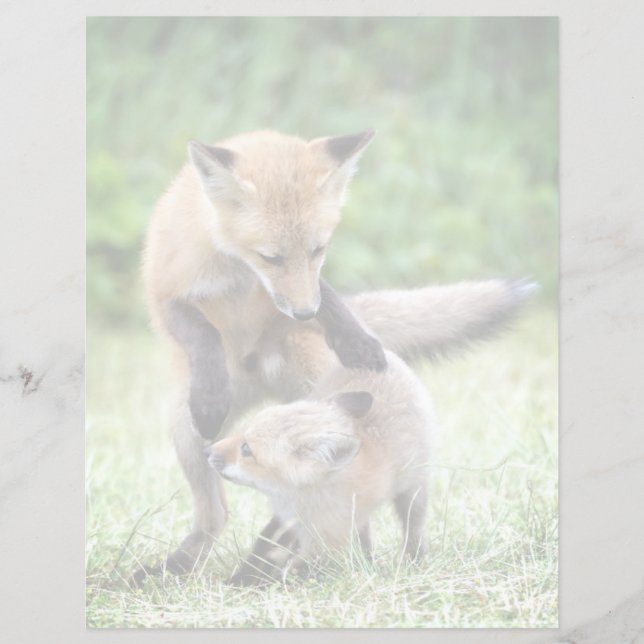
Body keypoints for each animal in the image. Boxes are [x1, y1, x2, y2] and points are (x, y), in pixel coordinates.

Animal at [206, 348, 434, 586]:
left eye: (246, 449)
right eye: (242, 433)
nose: (208, 451)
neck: (300, 499)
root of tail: (388, 356)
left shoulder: (325, 542)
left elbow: (294, 572)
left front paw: (260, 585)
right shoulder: (286, 520)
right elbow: (262, 548)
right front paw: (240, 579)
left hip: (413, 491)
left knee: (413, 525)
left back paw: (413, 558)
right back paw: (368, 560)